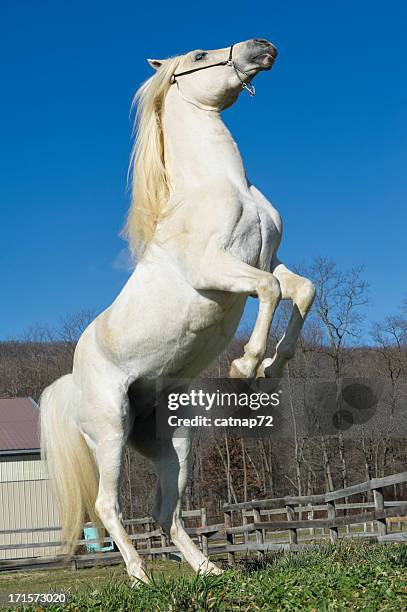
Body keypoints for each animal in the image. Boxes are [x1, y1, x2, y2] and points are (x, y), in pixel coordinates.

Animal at [40, 38, 316, 584]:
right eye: (198, 57)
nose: (261, 46)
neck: (223, 186)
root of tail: (73, 383)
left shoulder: (268, 257)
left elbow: (302, 290)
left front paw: (273, 370)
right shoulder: (217, 270)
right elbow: (271, 290)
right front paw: (248, 366)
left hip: (174, 443)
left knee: (163, 511)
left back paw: (210, 571)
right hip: (110, 436)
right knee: (107, 506)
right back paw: (140, 578)